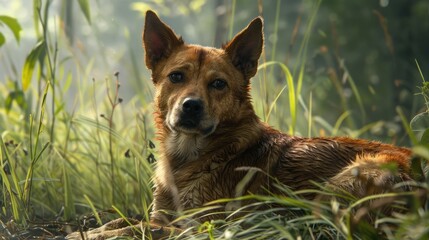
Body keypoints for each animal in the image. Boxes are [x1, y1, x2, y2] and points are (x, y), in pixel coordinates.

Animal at [67, 10, 414, 239]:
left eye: (218, 84)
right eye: (176, 76)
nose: (191, 106)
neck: (191, 157)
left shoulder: (198, 223)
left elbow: (140, 227)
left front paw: (94, 234)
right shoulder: (164, 213)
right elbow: (125, 220)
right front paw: (98, 228)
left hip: (343, 183)